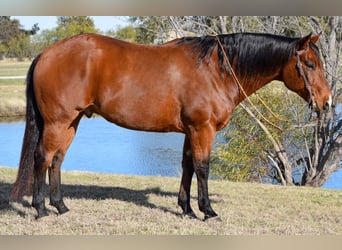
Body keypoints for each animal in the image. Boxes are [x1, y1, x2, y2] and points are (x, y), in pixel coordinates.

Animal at [10, 32, 332, 220]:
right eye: (310, 64)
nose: (327, 102)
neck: (216, 69)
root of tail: (47, 53)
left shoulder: (191, 131)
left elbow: (187, 166)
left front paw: (186, 208)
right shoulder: (203, 129)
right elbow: (202, 167)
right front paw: (207, 210)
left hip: (71, 122)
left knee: (57, 160)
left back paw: (60, 206)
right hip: (58, 122)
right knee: (42, 158)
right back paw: (40, 208)